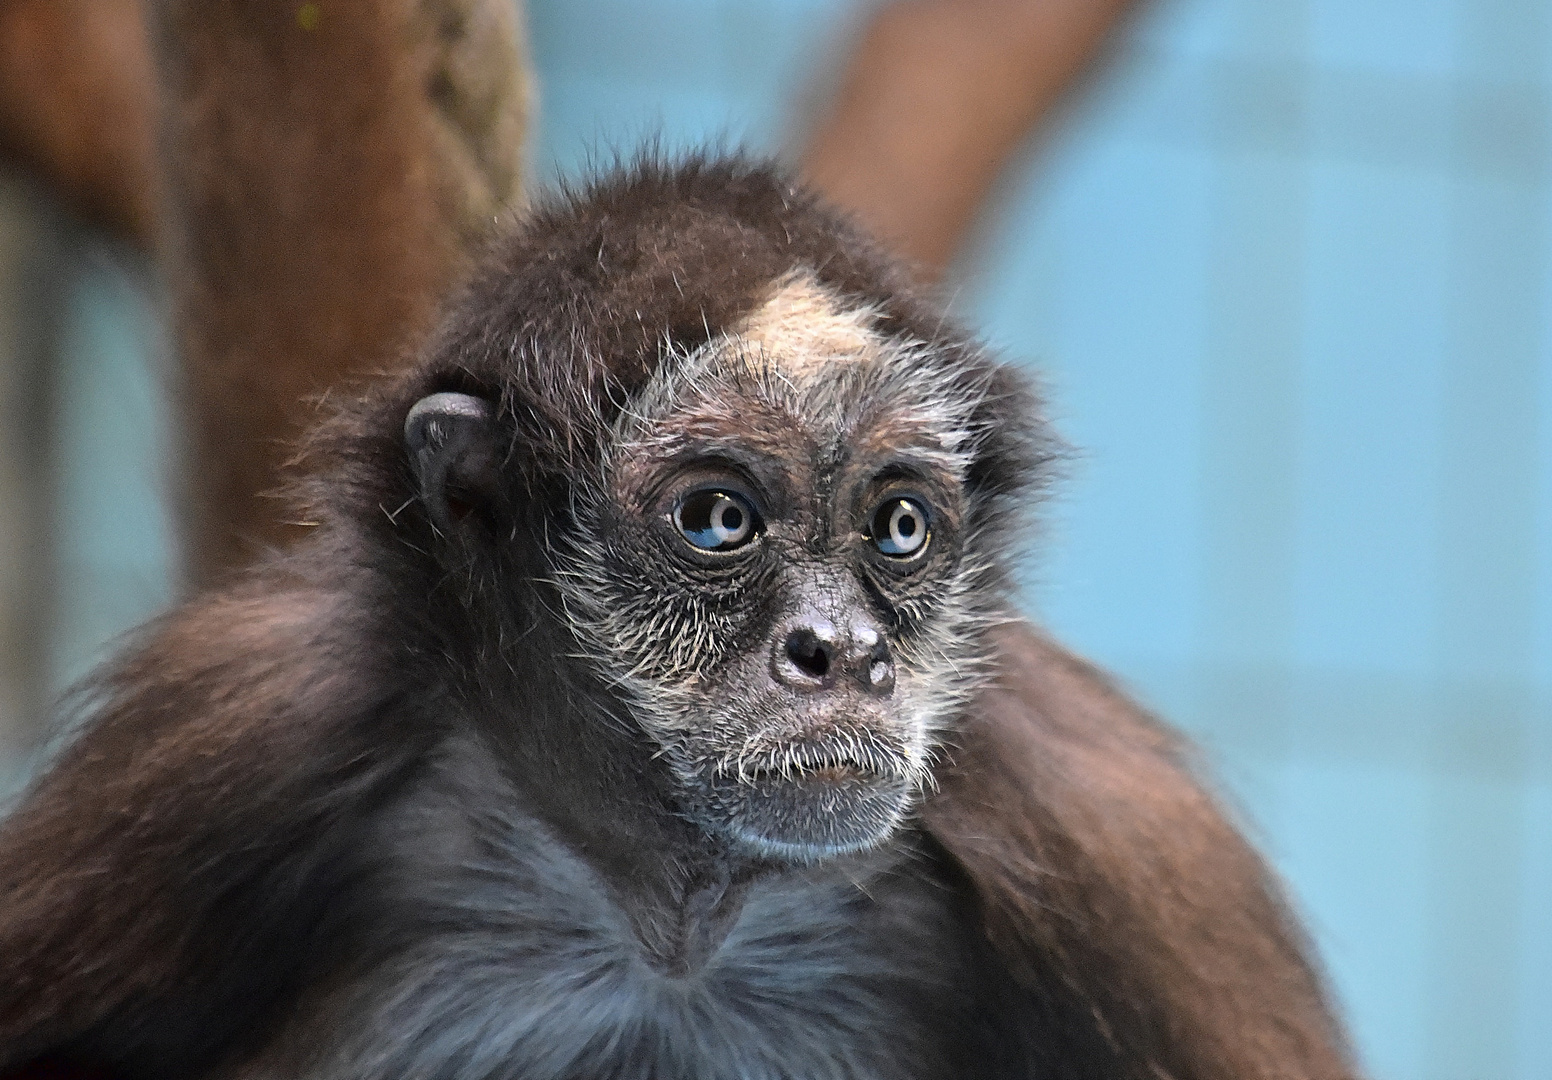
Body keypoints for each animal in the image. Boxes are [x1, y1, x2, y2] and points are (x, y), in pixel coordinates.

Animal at [0, 153, 1359, 1080]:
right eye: (717, 520)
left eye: (899, 528)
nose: (843, 654)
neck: (676, 926)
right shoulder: (230, 730)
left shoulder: (1115, 834)